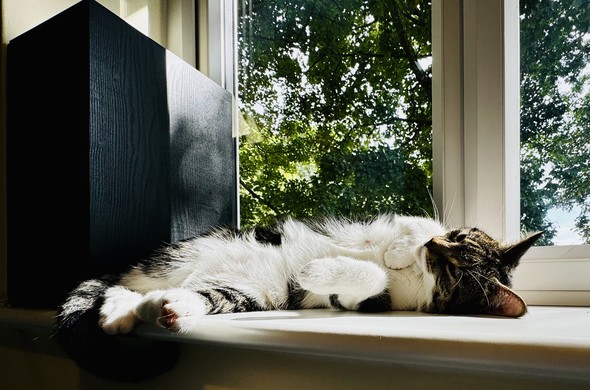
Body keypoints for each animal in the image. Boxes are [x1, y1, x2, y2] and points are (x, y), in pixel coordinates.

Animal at [53, 213, 544, 380]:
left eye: (455, 269)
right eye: (457, 237)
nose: (433, 248)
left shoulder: (357, 303)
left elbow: (367, 285)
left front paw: (315, 272)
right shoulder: (394, 224)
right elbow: (407, 224)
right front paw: (400, 249)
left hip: (245, 293)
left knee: (171, 296)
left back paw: (154, 310)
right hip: (182, 257)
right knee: (123, 282)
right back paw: (120, 307)